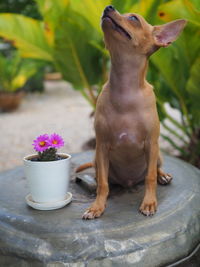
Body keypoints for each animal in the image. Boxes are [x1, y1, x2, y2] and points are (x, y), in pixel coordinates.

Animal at [77, 5, 186, 220]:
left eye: (134, 18)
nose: (108, 7)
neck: (125, 90)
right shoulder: (102, 146)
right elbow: (103, 183)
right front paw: (97, 206)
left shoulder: (151, 144)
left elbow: (150, 177)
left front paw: (149, 203)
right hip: (96, 159)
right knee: (100, 177)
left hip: (158, 154)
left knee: (155, 169)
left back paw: (163, 176)